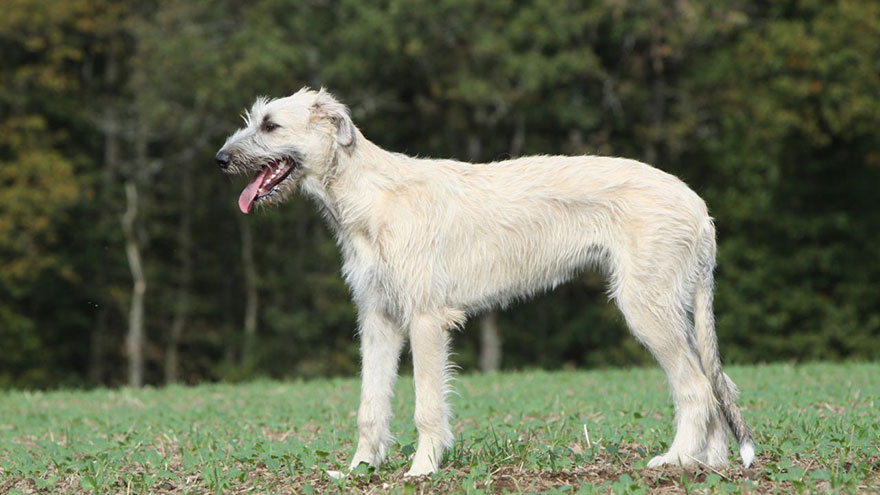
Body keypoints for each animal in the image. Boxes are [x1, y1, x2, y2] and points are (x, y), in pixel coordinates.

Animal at [217, 88, 752, 476]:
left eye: (270, 124)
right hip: (674, 305)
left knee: (697, 387)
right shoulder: (378, 318)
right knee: (718, 382)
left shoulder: (425, 319)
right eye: (253, 119)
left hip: (646, 306)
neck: (369, 193)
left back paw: (677, 459)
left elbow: (426, 404)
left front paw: (422, 469)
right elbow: (371, 403)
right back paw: (712, 462)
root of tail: (698, 206)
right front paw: (358, 469)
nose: (219, 159)